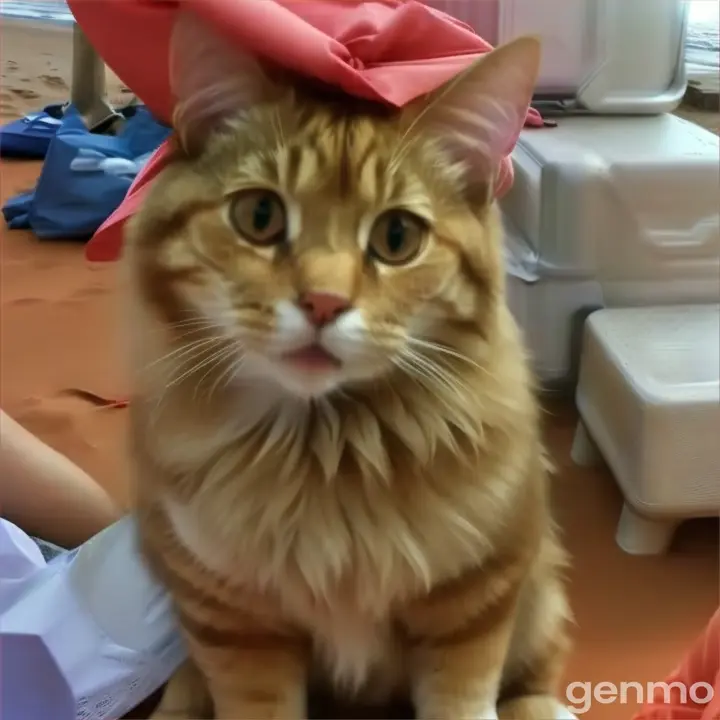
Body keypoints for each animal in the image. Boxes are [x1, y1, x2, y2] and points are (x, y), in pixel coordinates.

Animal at [124, 9, 572, 720]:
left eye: (397, 238)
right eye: (259, 216)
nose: (323, 301)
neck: (325, 459)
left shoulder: (479, 597)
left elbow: (468, 700)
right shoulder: (230, 622)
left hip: (539, 600)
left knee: (538, 678)